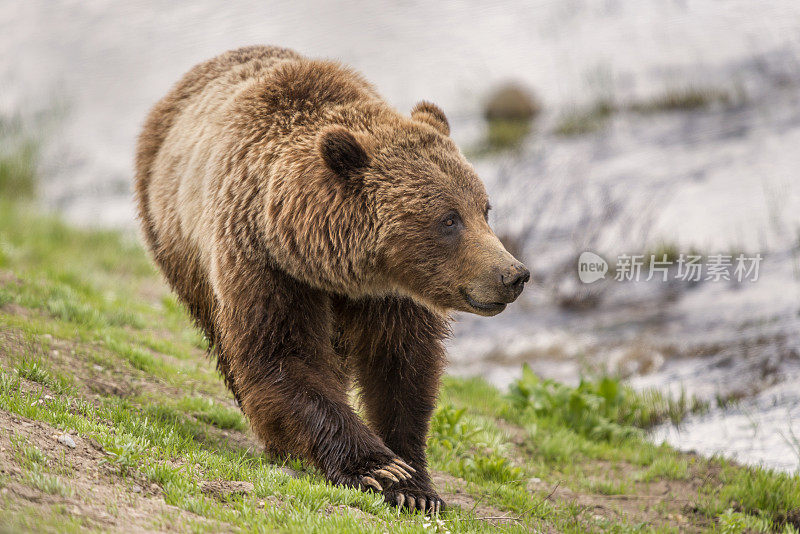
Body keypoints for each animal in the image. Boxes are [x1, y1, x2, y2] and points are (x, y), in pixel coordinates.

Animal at [134, 46, 528, 516]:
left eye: (484, 209)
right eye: (449, 219)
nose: (513, 274)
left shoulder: (391, 296)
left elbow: (401, 369)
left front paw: (414, 484)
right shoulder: (264, 264)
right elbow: (283, 357)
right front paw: (379, 470)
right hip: (178, 244)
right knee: (227, 344)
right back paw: (282, 445)